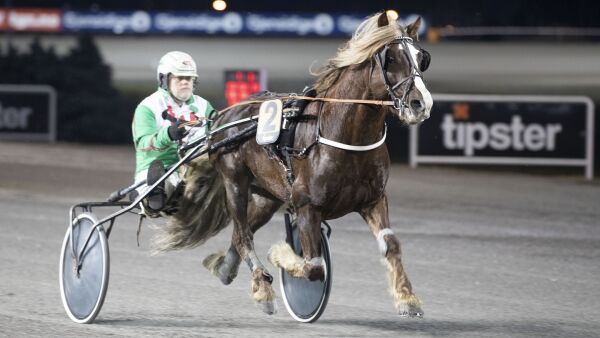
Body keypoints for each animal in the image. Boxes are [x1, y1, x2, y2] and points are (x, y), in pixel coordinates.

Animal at [151, 10, 432, 316]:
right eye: (390, 58)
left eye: (421, 58)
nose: (421, 104)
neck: (343, 136)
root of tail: (224, 115)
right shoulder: (307, 206)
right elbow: (314, 266)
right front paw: (280, 255)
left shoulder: (373, 199)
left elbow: (391, 244)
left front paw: (407, 298)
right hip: (235, 182)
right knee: (243, 234)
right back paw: (262, 288)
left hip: (267, 195)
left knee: (242, 232)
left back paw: (226, 268)